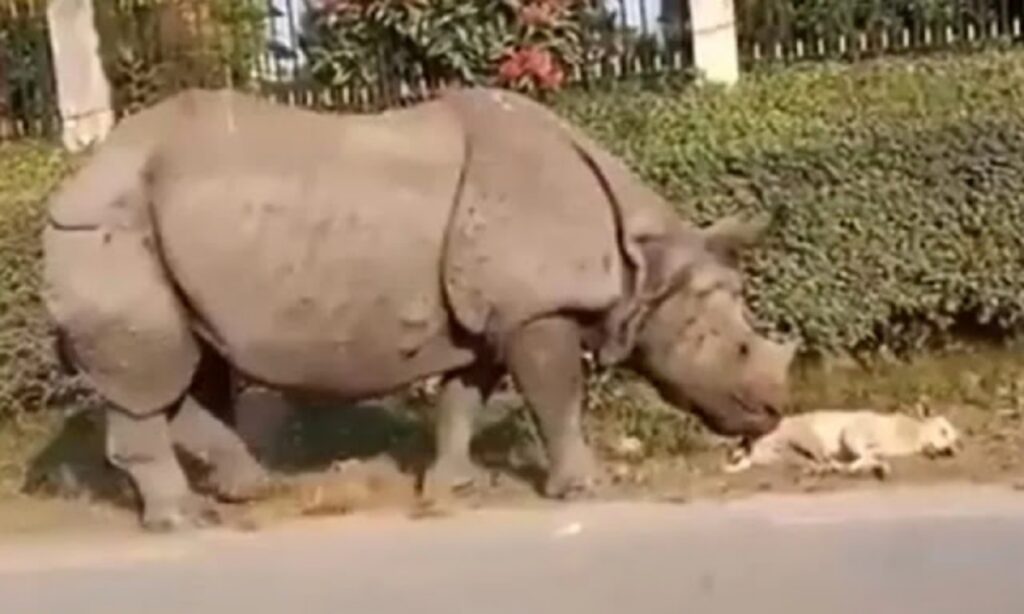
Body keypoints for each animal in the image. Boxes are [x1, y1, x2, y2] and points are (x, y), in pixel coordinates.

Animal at [720, 407, 958, 478]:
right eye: (943, 430)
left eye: (955, 439)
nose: (954, 449)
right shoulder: (852, 431)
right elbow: (863, 455)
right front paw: (873, 467)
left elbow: (871, 456)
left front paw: (879, 466)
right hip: (807, 438)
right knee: (822, 460)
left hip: (786, 455)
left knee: (815, 463)